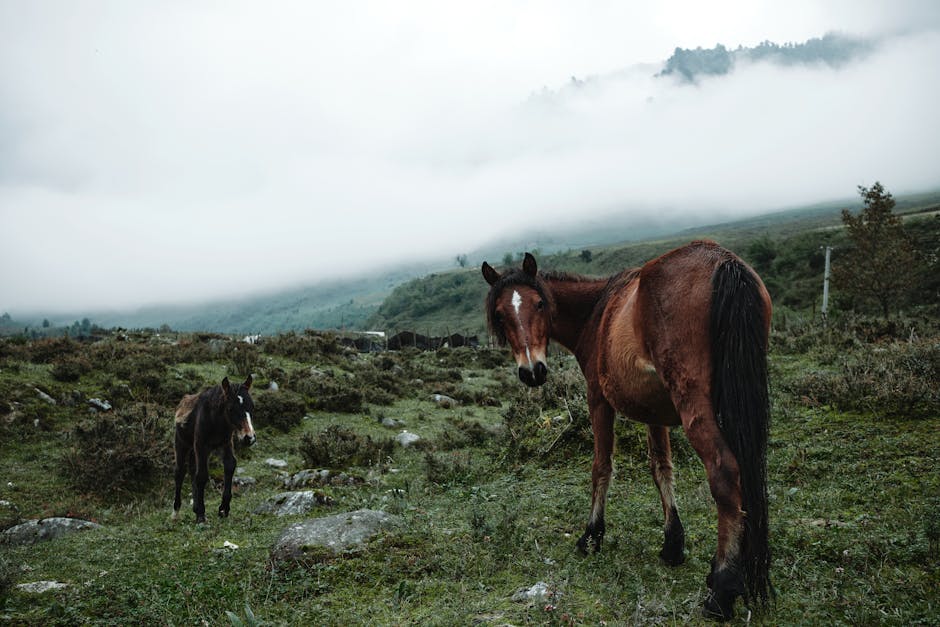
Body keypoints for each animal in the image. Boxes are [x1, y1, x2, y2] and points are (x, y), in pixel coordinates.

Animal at [173, 372, 258, 524]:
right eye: (230, 408)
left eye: (252, 407)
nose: (249, 438)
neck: (216, 421)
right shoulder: (201, 445)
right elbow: (201, 475)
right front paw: (201, 514)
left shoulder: (226, 443)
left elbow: (230, 465)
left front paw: (223, 508)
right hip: (182, 444)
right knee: (180, 473)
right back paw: (176, 513)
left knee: (192, 470)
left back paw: (195, 507)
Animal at [484, 242, 772, 624]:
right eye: (501, 315)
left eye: (539, 304)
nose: (533, 371)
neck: (597, 313)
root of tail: (722, 261)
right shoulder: (656, 412)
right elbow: (661, 467)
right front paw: (672, 543)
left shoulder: (598, 400)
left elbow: (601, 467)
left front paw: (592, 535)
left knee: (725, 473)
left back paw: (722, 589)